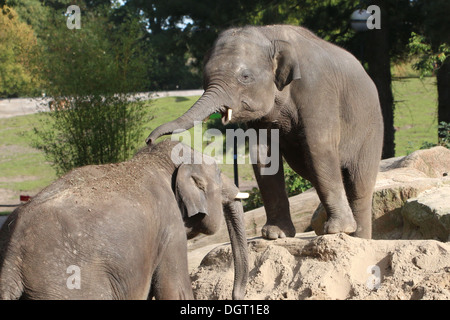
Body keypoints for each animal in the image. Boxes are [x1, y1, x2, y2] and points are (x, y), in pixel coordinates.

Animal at [0, 141, 248, 300]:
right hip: (68, 285)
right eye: (219, 173)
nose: (236, 295)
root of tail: (11, 261)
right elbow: (174, 291)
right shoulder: (170, 228)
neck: (152, 161)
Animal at [147, 25, 384, 240]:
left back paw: (356, 237)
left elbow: (319, 146)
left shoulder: (317, 88)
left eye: (245, 76)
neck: (269, 34)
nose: (149, 140)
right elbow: (263, 155)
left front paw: (336, 230)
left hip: (371, 130)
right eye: (204, 79)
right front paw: (275, 235)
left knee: (359, 184)